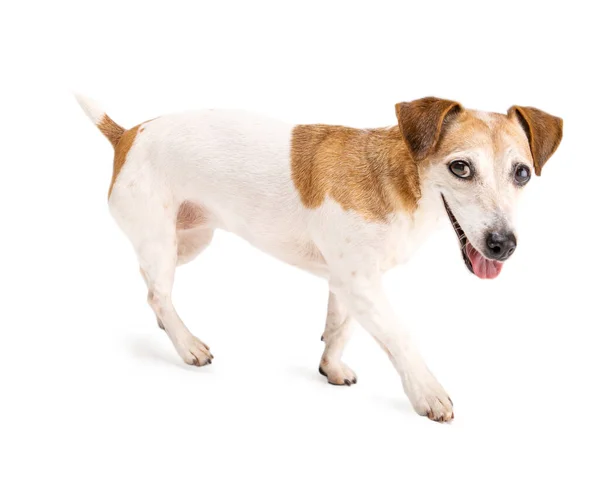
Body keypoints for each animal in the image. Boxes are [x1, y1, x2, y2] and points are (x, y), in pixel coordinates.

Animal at [75, 94, 564, 422]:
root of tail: (127, 135)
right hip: (162, 241)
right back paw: (187, 344)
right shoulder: (362, 283)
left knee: (152, 287)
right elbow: (401, 338)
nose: (504, 244)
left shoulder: (347, 280)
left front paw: (331, 367)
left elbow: (340, 328)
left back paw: (170, 328)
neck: (401, 177)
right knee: (158, 293)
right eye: (460, 167)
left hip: (190, 241)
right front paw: (428, 393)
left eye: (522, 173)